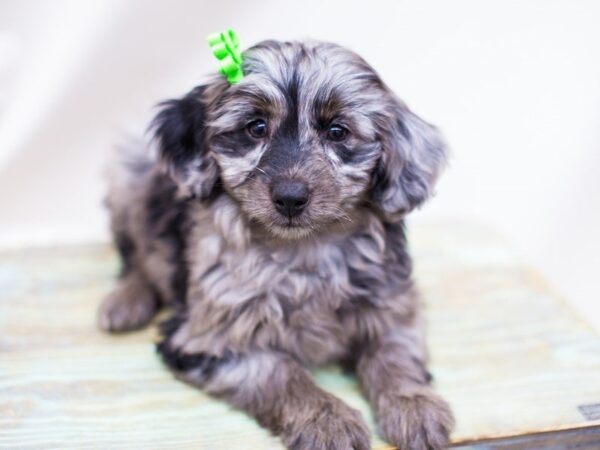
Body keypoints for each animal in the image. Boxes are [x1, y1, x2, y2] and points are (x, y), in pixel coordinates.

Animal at [98, 39, 452, 450]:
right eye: (256, 128)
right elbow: (281, 372)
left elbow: (394, 352)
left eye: (337, 131)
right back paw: (126, 302)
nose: (290, 197)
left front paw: (413, 404)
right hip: (130, 175)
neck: (304, 249)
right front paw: (327, 420)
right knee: (133, 257)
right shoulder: (211, 338)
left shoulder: (393, 303)